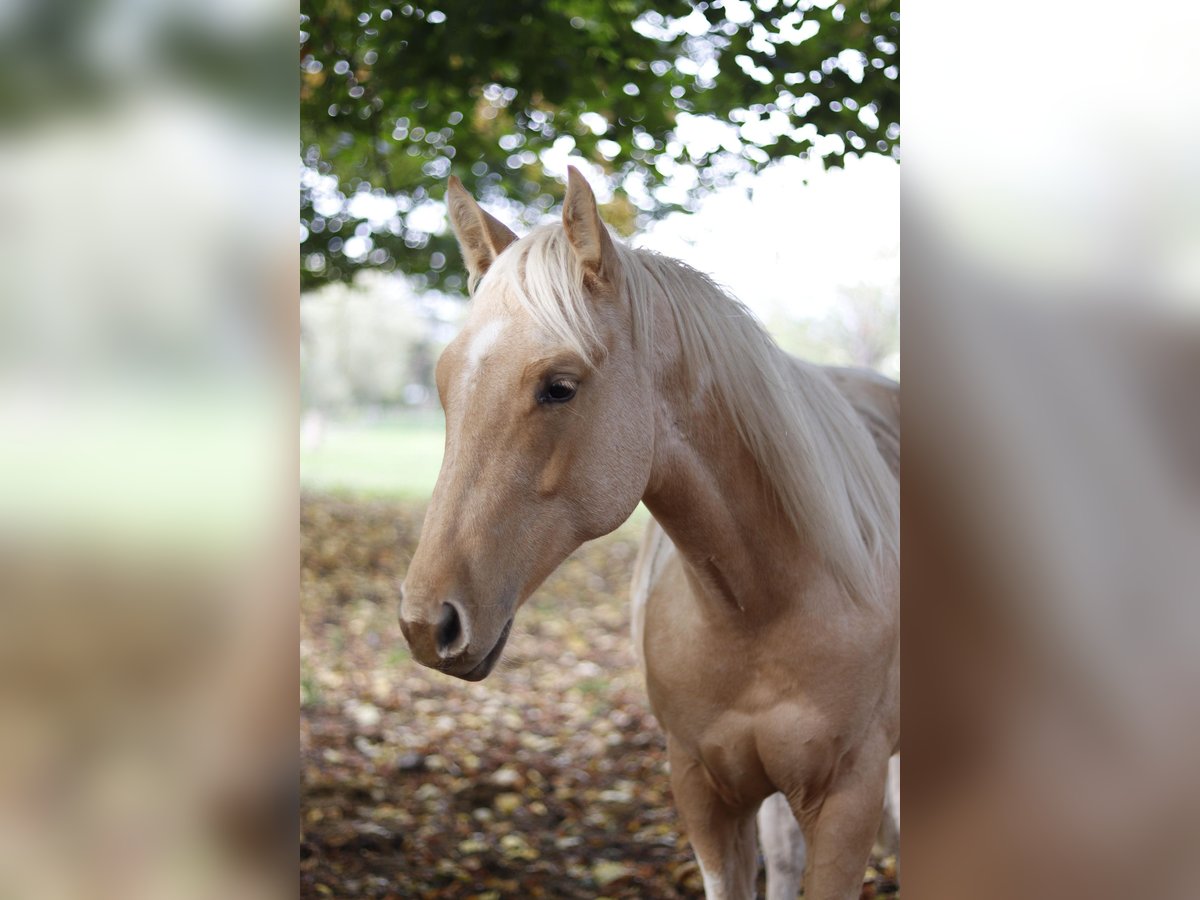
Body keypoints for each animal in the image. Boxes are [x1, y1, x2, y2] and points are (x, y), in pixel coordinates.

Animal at [403, 169, 902, 900]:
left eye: (559, 387)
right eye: (443, 385)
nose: (425, 624)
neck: (764, 605)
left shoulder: (849, 801)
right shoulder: (703, 791)